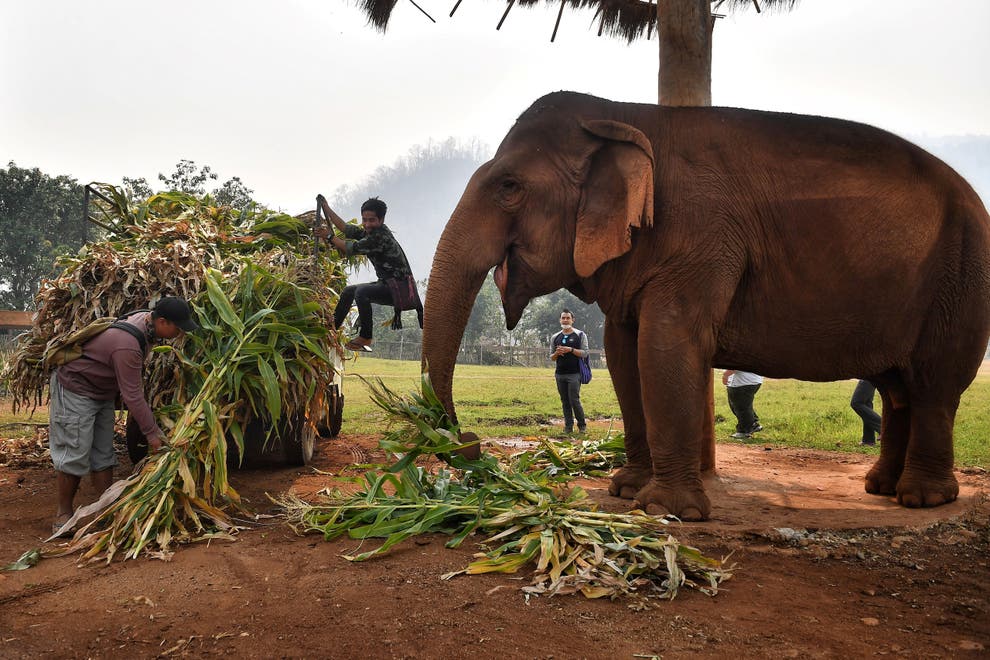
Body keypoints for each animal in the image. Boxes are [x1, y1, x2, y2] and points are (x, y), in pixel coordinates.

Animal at [420, 90, 990, 520]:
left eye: (509, 186)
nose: (468, 443)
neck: (620, 114)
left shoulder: (701, 237)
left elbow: (665, 346)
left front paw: (666, 510)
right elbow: (624, 352)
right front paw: (626, 489)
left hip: (961, 280)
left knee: (932, 383)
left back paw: (922, 498)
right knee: (898, 389)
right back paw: (881, 488)